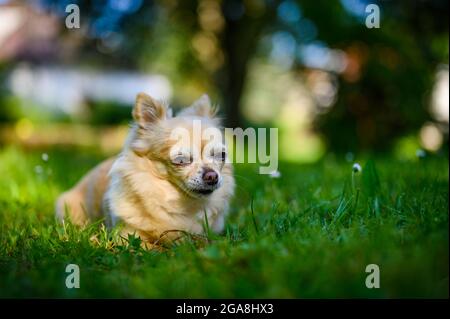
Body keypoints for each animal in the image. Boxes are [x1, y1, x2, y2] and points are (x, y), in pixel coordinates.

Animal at [56, 92, 236, 245]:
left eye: (221, 155)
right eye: (181, 160)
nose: (212, 176)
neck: (182, 203)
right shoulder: (127, 236)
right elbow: (154, 247)